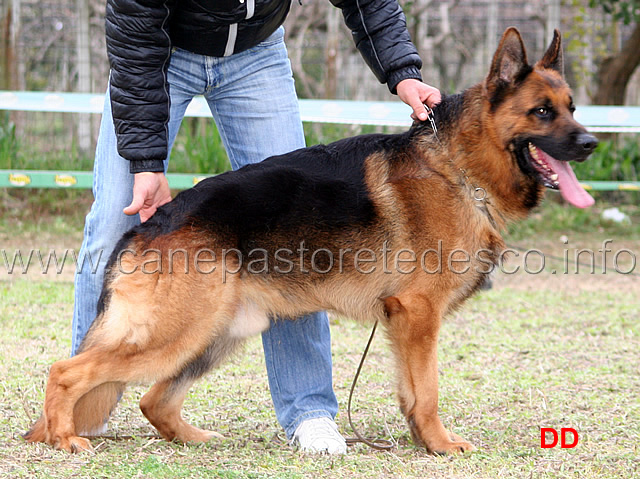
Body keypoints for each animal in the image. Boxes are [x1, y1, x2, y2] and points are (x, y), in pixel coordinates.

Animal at [23, 28, 596, 456]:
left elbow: (412, 392)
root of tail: (150, 222)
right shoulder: (418, 314)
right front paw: (439, 444)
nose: (591, 142)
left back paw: (193, 438)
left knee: (154, 401)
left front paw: (421, 441)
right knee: (67, 371)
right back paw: (64, 438)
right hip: (177, 333)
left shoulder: (407, 323)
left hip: (214, 334)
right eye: (542, 112)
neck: (458, 167)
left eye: (571, 107)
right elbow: (429, 390)